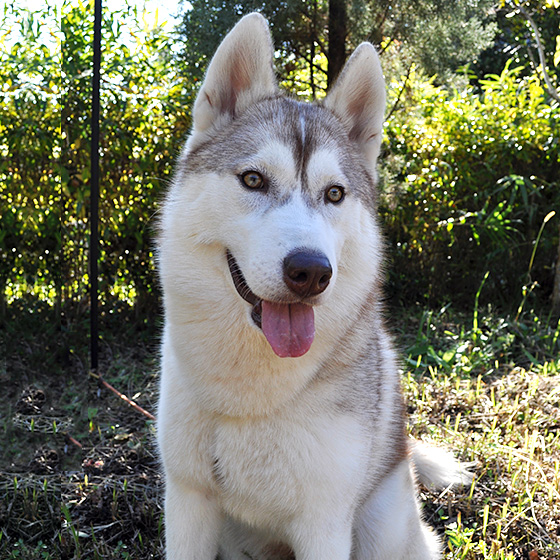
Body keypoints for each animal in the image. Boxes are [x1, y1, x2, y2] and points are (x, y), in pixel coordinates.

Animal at [156, 13, 468, 560]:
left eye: (335, 193)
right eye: (253, 179)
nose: (311, 271)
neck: (246, 403)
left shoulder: (324, 522)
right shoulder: (188, 497)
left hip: (380, 526)